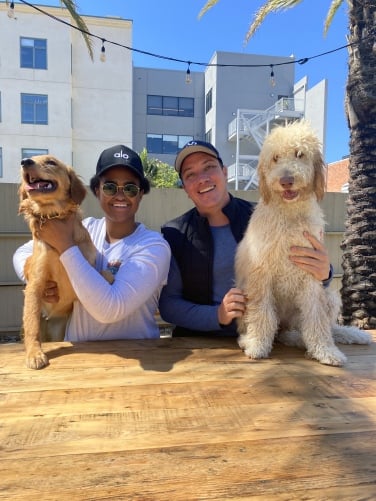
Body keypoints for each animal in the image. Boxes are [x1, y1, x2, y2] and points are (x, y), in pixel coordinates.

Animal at [19, 154, 97, 370]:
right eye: (29, 158)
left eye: (51, 162)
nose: (24, 161)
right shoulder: (35, 284)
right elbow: (32, 326)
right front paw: (34, 353)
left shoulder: (89, 265)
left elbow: (105, 275)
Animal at [235, 119, 370, 366]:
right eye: (275, 158)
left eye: (300, 154)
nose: (286, 180)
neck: (290, 216)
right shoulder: (261, 274)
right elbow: (262, 313)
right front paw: (257, 345)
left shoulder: (311, 275)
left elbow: (316, 319)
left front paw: (325, 350)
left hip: (328, 296)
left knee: (318, 326)